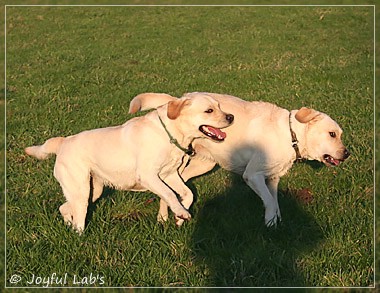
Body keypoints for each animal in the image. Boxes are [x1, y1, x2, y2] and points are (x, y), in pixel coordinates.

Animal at [24, 92, 235, 232]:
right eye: (209, 110)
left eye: (219, 106)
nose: (231, 116)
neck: (170, 135)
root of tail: (63, 141)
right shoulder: (149, 176)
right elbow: (169, 194)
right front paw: (180, 212)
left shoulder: (169, 174)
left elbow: (187, 193)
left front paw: (179, 215)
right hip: (81, 190)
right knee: (78, 216)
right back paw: (79, 235)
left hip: (92, 191)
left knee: (65, 207)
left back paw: (69, 226)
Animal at [130, 91, 350, 226]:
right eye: (332, 134)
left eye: (340, 134)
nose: (347, 153)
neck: (290, 135)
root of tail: (178, 99)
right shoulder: (252, 175)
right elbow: (269, 202)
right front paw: (270, 224)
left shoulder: (272, 178)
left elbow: (274, 201)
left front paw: (274, 222)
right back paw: (165, 216)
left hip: (204, 164)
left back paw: (175, 215)